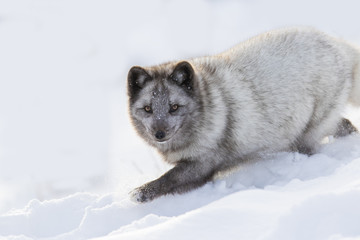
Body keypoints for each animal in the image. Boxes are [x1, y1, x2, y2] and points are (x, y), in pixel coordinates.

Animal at [128, 27, 358, 202]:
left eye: (174, 107)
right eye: (148, 109)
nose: (159, 134)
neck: (207, 103)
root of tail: (336, 43)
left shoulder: (203, 164)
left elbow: (168, 179)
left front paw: (138, 194)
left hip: (306, 134)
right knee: (346, 125)